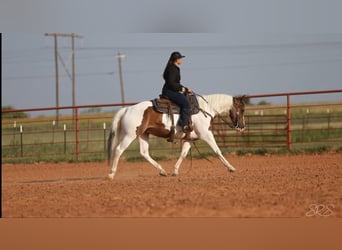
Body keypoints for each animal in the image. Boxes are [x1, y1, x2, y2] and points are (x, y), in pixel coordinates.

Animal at [108, 93, 244, 178]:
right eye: (242, 110)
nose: (242, 127)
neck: (204, 109)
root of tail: (127, 109)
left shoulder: (190, 139)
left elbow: (183, 154)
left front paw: (175, 171)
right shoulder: (207, 134)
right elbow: (217, 150)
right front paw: (231, 168)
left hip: (143, 135)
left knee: (144, 153)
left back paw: (162, 171)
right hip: (129, 135)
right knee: (118, 150)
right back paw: (111, 173)